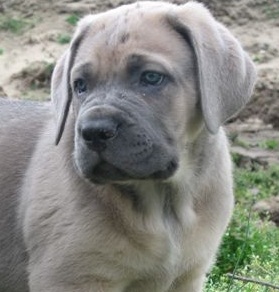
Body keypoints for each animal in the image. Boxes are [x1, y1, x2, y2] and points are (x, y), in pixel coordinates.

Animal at [0, 1, 258, 290]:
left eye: (152, 78)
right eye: (80, 85)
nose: (94, 132)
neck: (164, 203)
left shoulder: (189, 276)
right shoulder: (70, 277)